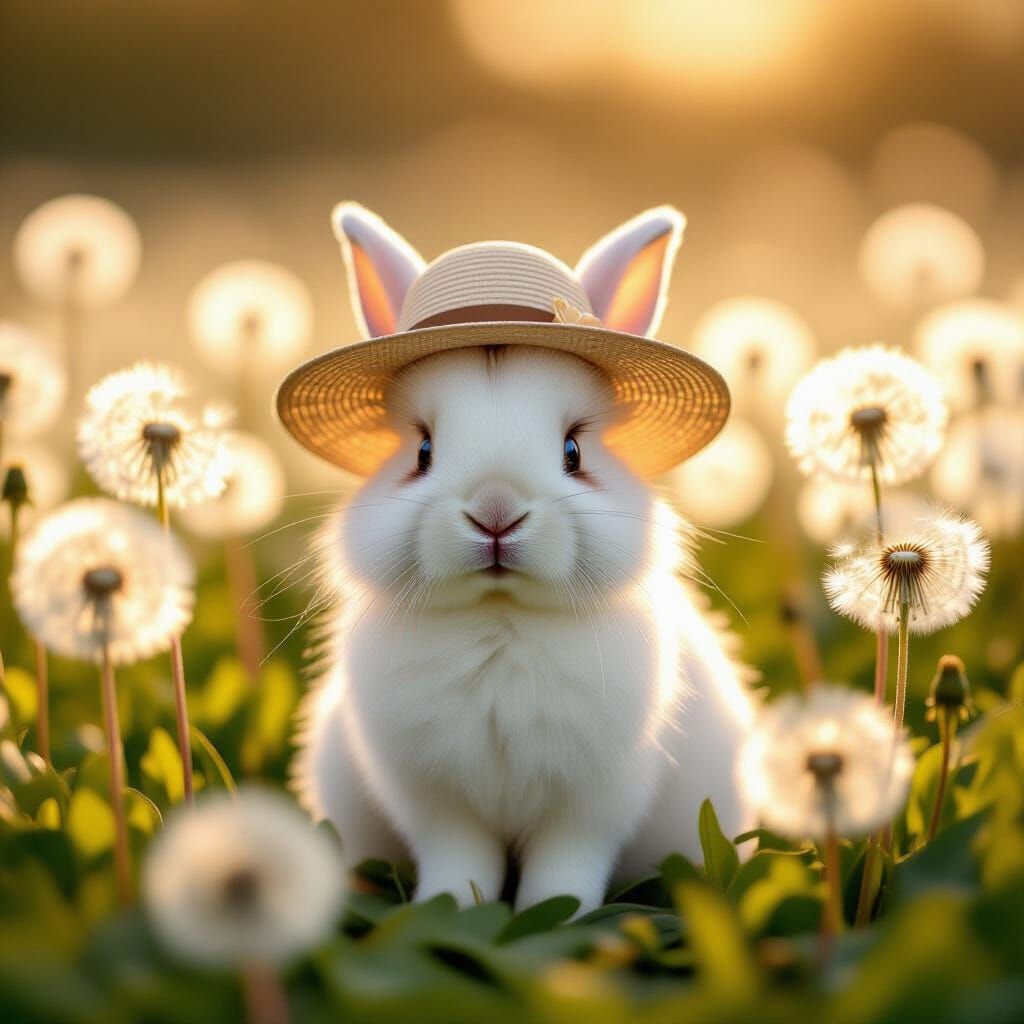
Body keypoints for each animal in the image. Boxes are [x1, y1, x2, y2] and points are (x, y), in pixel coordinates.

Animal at [291, 205, 756, 914]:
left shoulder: (592, 804)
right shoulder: (437, 802)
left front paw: (555, 917)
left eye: (573, 452)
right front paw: (451, 907)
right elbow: (459, 859)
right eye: (421, 452)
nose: (496, 510)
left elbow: (565, 867)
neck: (500, 619)